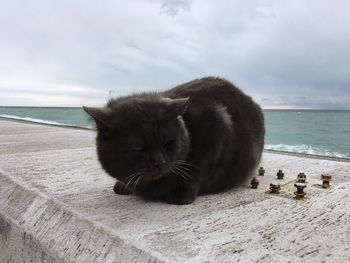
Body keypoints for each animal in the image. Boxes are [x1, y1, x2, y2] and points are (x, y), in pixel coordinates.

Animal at [85, 77, 264, 205]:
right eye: (139, 148)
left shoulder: (217, 124)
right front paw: (124, 185)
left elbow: (197, 171)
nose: (160, 163)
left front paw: (181, 194)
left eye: (168, 143)